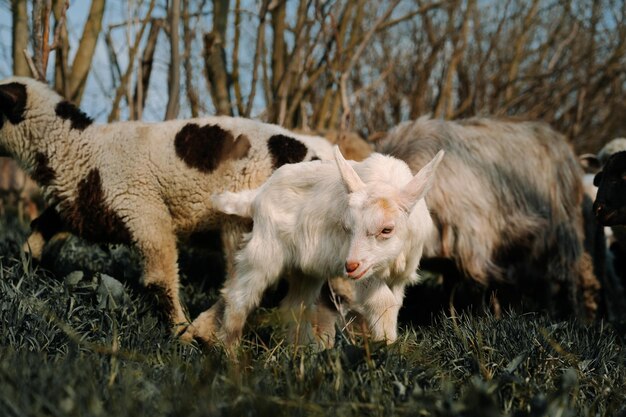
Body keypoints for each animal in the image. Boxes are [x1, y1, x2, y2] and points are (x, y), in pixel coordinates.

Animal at [0, 76, 332, 334]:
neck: (79, 151)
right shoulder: (81, 209)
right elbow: (40, 228)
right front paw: (25, 270)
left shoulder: (142, 208)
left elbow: (160, 278)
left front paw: (178, 331)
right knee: (316, 298)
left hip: (246, 225)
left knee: (244, 285)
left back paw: (204, 334)